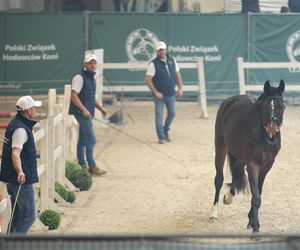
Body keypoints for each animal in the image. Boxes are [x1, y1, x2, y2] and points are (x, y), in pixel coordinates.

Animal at [210, 80, 284, 232]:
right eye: (265, 106)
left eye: (282, 107)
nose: (272, 132)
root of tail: (229, 101)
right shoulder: (253, 165)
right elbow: (256, 196)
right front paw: (255, 225)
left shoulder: (267, 166)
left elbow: (258, 191)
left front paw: (251, 220)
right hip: (220, 147)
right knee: (219, 179)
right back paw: (214, 213)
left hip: (241, 157)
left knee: (236, 172)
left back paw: (228, 197)